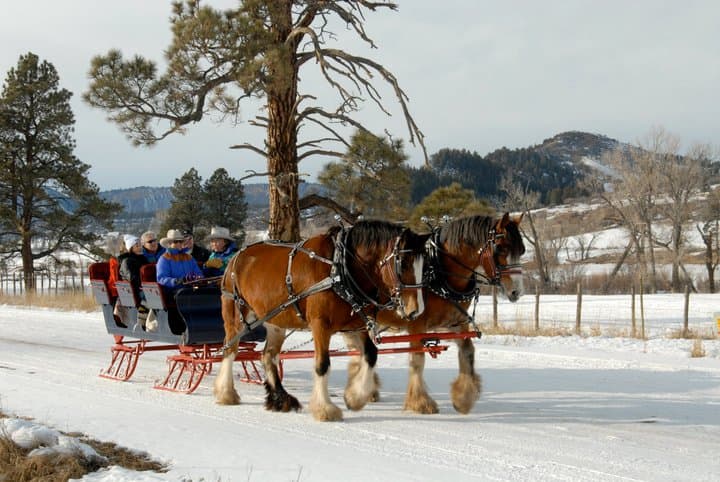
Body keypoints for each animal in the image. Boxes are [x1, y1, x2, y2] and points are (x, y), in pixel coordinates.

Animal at [213, 220, 430, 421]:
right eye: (403, 262)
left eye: (424, 266)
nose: (416, 310)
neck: (339, 268)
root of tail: (236, 257)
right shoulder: (320, 325)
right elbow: (322, 364)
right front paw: (325, 409)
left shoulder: (356, 324)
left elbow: (371, 355)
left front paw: (355, 397)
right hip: (235, 315)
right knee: (230, 349)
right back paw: (226, 393)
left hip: (276, 321)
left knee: (268, 356)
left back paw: (281, 398)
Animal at [343, 212, 525, 415]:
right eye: (501, 248)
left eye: (522, 250)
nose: (517, 291)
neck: (438, 273)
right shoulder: (416, 324)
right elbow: (417, 359)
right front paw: (420, 402)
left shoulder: (457, 323)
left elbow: (468, 352)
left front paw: (464, 398)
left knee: (359, 349)